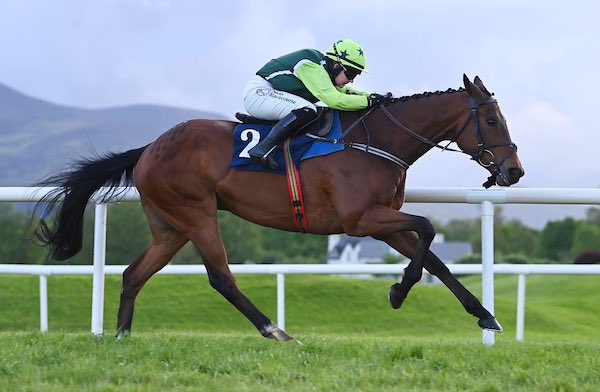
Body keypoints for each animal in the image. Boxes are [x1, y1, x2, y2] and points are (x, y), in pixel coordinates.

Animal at [35, 73, 524, 340]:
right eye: (492, 119)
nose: (514, 171)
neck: (375, 142)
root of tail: (149, 149)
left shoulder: (380, 222)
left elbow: (435, 257)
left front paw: (485, 316)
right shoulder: (361, 219)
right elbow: (426, 226)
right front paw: (399, 291)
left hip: (169, 225)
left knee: (134, 275)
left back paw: (121, 337)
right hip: (196, 213)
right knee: (221, 278)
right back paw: (275, 330)